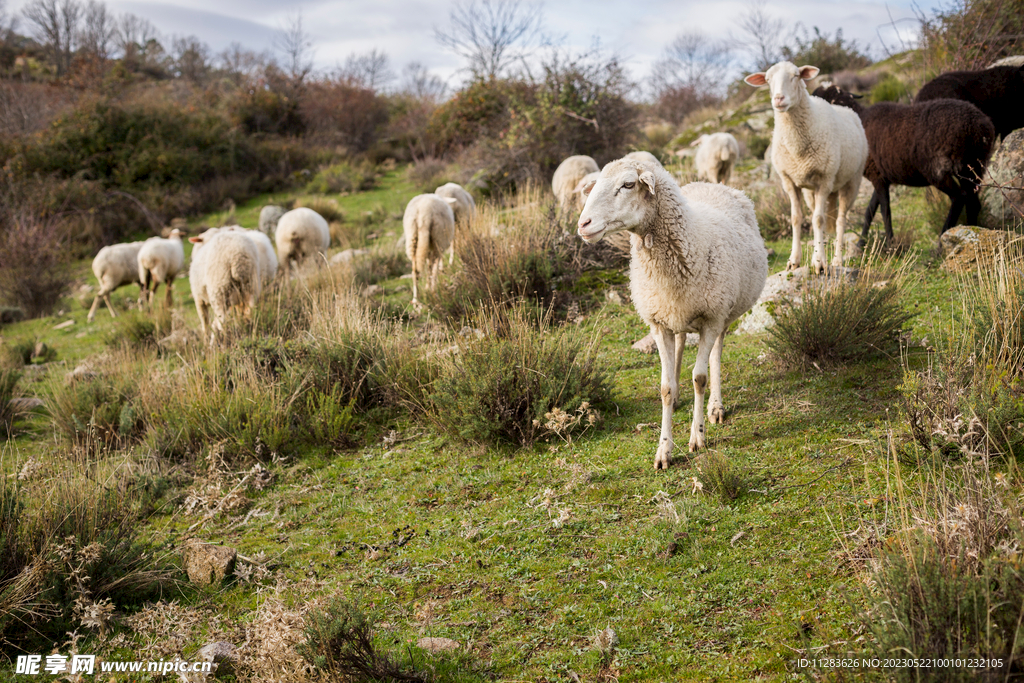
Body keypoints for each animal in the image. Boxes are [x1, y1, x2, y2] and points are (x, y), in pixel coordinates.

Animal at [581, 158, 765, 471]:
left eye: (628, 184)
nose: (583, 224)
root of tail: (710, 183)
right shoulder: (658, 323)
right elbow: (665, 388)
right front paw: (663, 450)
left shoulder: (711, 318)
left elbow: (700, 378)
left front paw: (697, 437)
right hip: (677, 314)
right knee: (680, 342)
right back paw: (680, 396)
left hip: (723, 314)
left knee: (716, 352)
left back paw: (715, 406)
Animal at [741, 62, 868, 272]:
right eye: (767, 80)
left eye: (796, 76)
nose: (778, 99)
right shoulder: (789, 181)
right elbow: (796, 218)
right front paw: (794, 260)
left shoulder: (824, 179)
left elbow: (818, 220)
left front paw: (820, 262)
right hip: (812, 191)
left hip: (851, 182)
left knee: (840, 219)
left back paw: (837, 259)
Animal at [811, 84, 995, 241]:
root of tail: (977, 125)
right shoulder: (882, 176)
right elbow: (870, 210)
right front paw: (861, 244)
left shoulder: (877, 176)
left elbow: (885, 211)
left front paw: (889, 243)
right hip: (973, 166)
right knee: (973, 202)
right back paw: (972, 233)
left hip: (937, 170)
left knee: (958, 197)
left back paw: (941, 242)